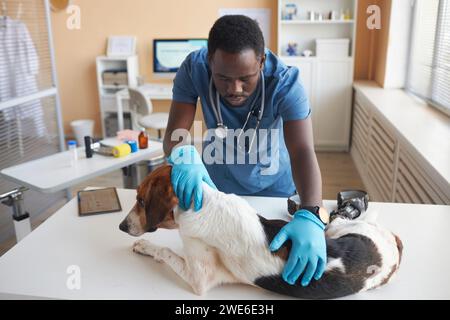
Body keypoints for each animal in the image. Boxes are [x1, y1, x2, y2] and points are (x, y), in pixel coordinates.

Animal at [118, 165, 402, 300]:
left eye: (141, 200)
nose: (121, 227)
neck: (204, 203)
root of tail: (393, 245)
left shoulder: (199, 279)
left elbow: (165, 250)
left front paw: (145, 246)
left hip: (340, 227)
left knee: (338, 216)